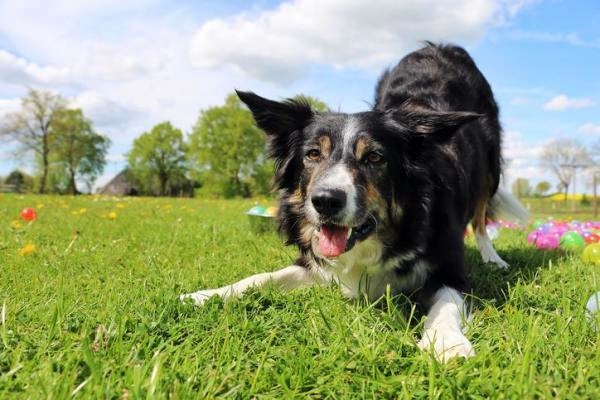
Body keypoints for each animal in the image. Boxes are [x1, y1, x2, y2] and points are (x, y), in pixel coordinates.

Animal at [180, 43, 528, 362]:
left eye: (374, 157)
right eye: (312, 154)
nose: (325, 201)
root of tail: (445, 47)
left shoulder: (451, 269)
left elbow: (446, 303)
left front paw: (446, 343)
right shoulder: (313, 264)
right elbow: (261, 277)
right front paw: (206, 294)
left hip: (491, 169)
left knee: (481, 218)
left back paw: (492, 257)